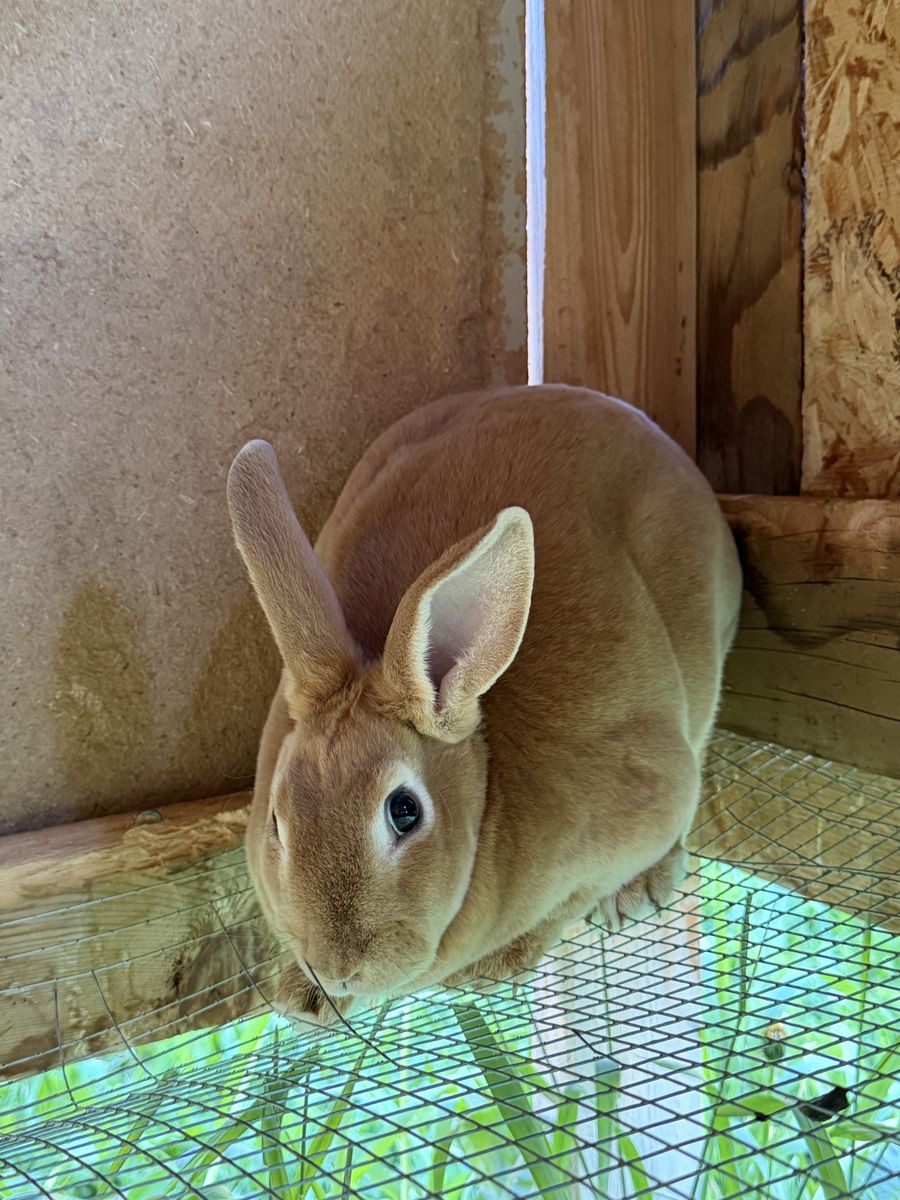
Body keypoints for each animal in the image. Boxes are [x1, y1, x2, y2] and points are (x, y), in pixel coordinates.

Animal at [227, 384, 743, 1024]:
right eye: (277, 821)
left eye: (404, 811)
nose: (338, 968)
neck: (488, 785)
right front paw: (304, 999)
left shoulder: (646, 801)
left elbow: (570, 904)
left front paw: (495, 966)